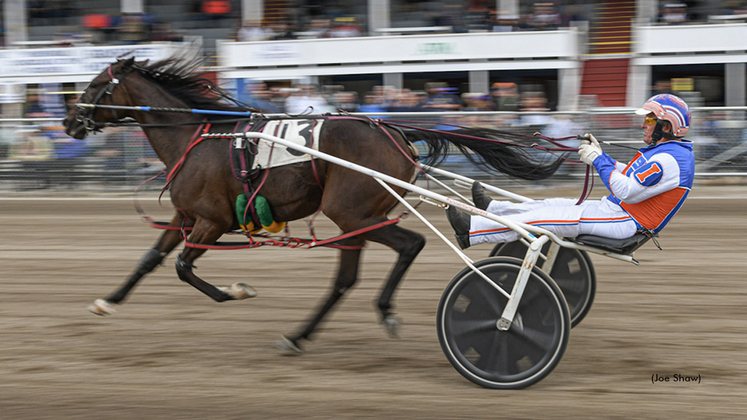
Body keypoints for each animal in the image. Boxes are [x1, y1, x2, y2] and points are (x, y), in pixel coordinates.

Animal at [64, 55, 564, 352]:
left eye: (92, 85)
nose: (70, 120)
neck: (197, 137)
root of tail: (394, 132)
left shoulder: (211, 220)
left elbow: (185, 268)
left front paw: (235, 291)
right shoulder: (185, 214)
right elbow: (150, 259)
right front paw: (107, 301)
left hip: (352, 212)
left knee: (406, 247)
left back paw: (335, 324)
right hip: (358, 218)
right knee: (355, 274)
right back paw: (317, 330)